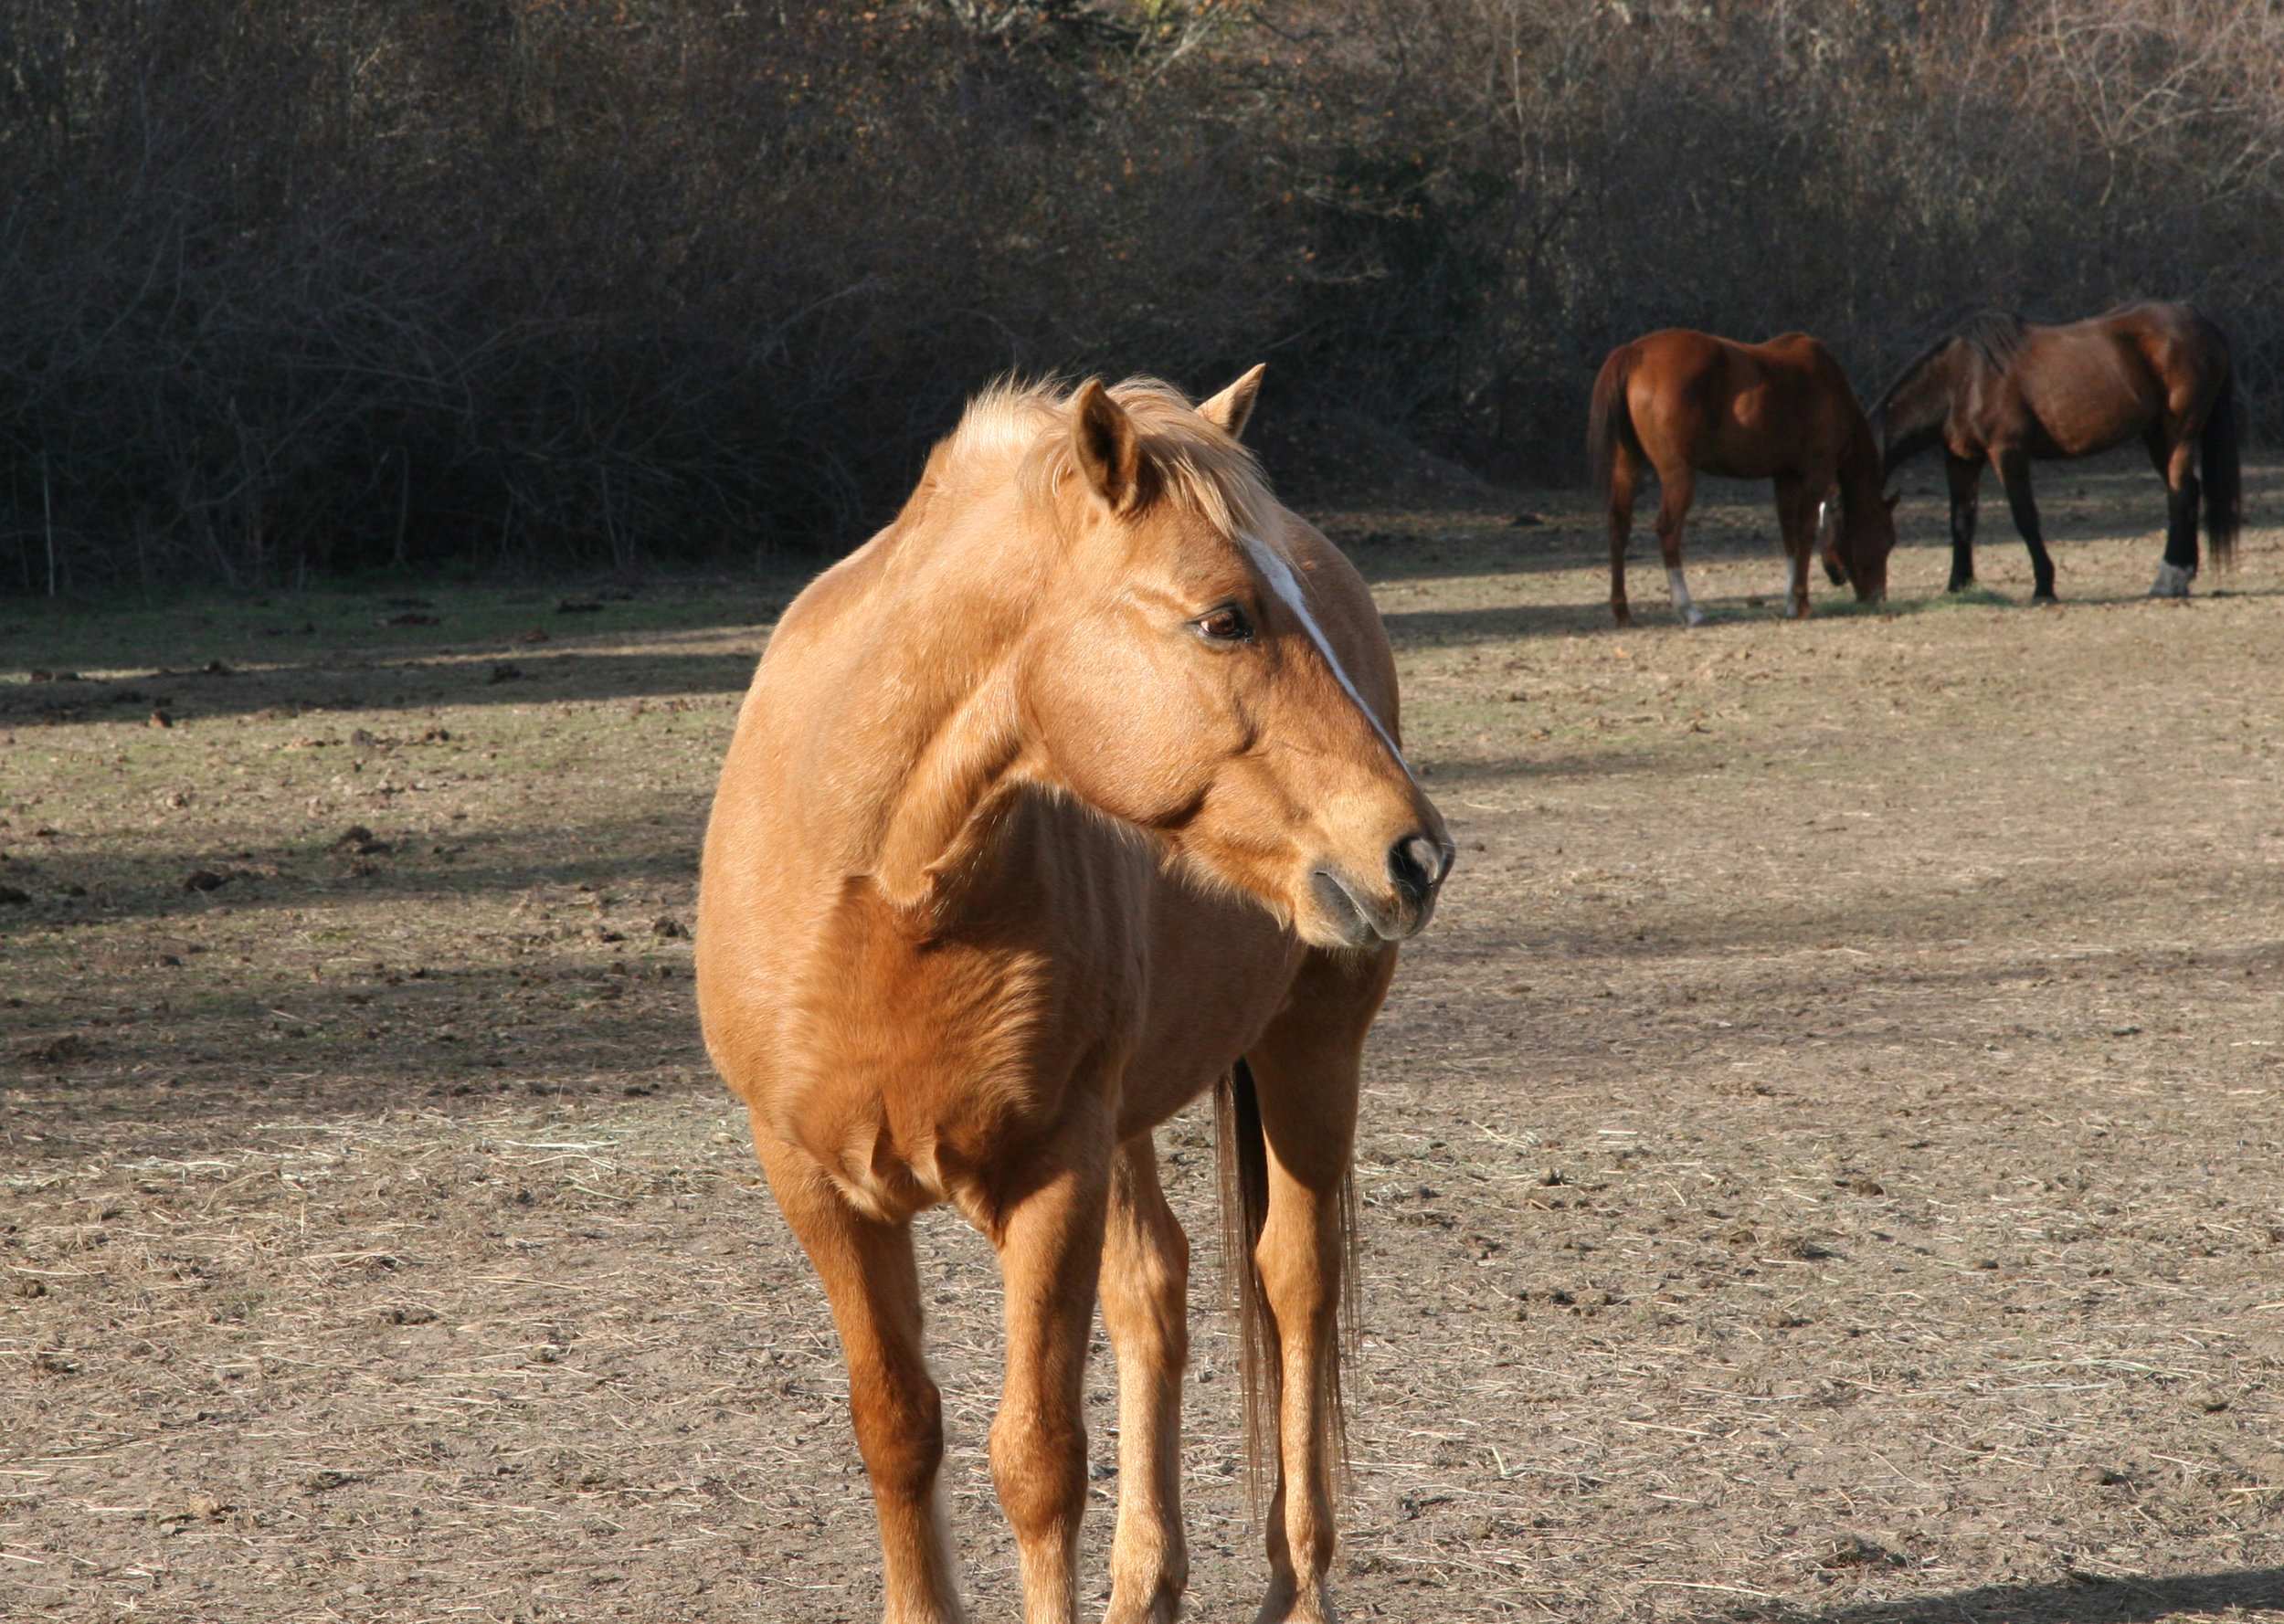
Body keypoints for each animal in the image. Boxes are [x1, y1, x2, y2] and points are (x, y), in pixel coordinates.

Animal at [690, 372, 1443, 1624]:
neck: (881, 889)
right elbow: (897, 1427)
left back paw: (1298, 1583)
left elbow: (1037, 1459)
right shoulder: (815, 1184)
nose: (1417, 852)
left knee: (1294, 1285)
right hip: (1130, 1118)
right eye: (1225, 617)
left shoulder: (1052, 1175)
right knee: (1158, 1288)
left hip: (1310, 1048)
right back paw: (1148, 1581)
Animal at [1590, 331, 1891, 630]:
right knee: (1668, 529)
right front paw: (1802, 603)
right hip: (1679, 475)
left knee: (1619, 527)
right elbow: (1804, 533)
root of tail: (1635, 351)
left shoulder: (1785, 477)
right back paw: (1688, 609)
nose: (1878, 596)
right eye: (1888, 541)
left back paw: (1623, 612)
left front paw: (1791, 603)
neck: (1828, 384)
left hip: (1627, 465)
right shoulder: (1816, 472)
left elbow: (1789, 536)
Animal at [1873, 301, 2247, 598]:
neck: (1961, 379)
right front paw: (1957, 586)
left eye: (1888, 539)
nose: (1872, 595)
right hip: (2155, 435)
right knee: (2188, 492)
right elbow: (1961, 521)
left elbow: (2025, 517)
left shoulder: (2007, 451)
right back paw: (2183, 575)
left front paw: (2044, 585)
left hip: (2180, 432)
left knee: (2180, 494)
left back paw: (2168, 580)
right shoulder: (1961, 458)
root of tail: (2204, 323)